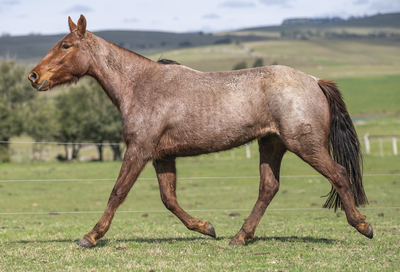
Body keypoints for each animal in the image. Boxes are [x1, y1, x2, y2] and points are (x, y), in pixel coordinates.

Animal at [27, 15, 372, 249]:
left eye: (65, 45)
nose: (33, 76)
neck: (140, 85)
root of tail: (315, 80)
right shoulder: (161, 156)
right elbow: (169, 199)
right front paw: (206, 227)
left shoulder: (139, 149)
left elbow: (118, 192)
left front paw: (91, 236)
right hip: (271, 144)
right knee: (268, 188)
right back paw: (239, 237)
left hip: (305, 145)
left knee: (339, 174)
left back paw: (363, 225)